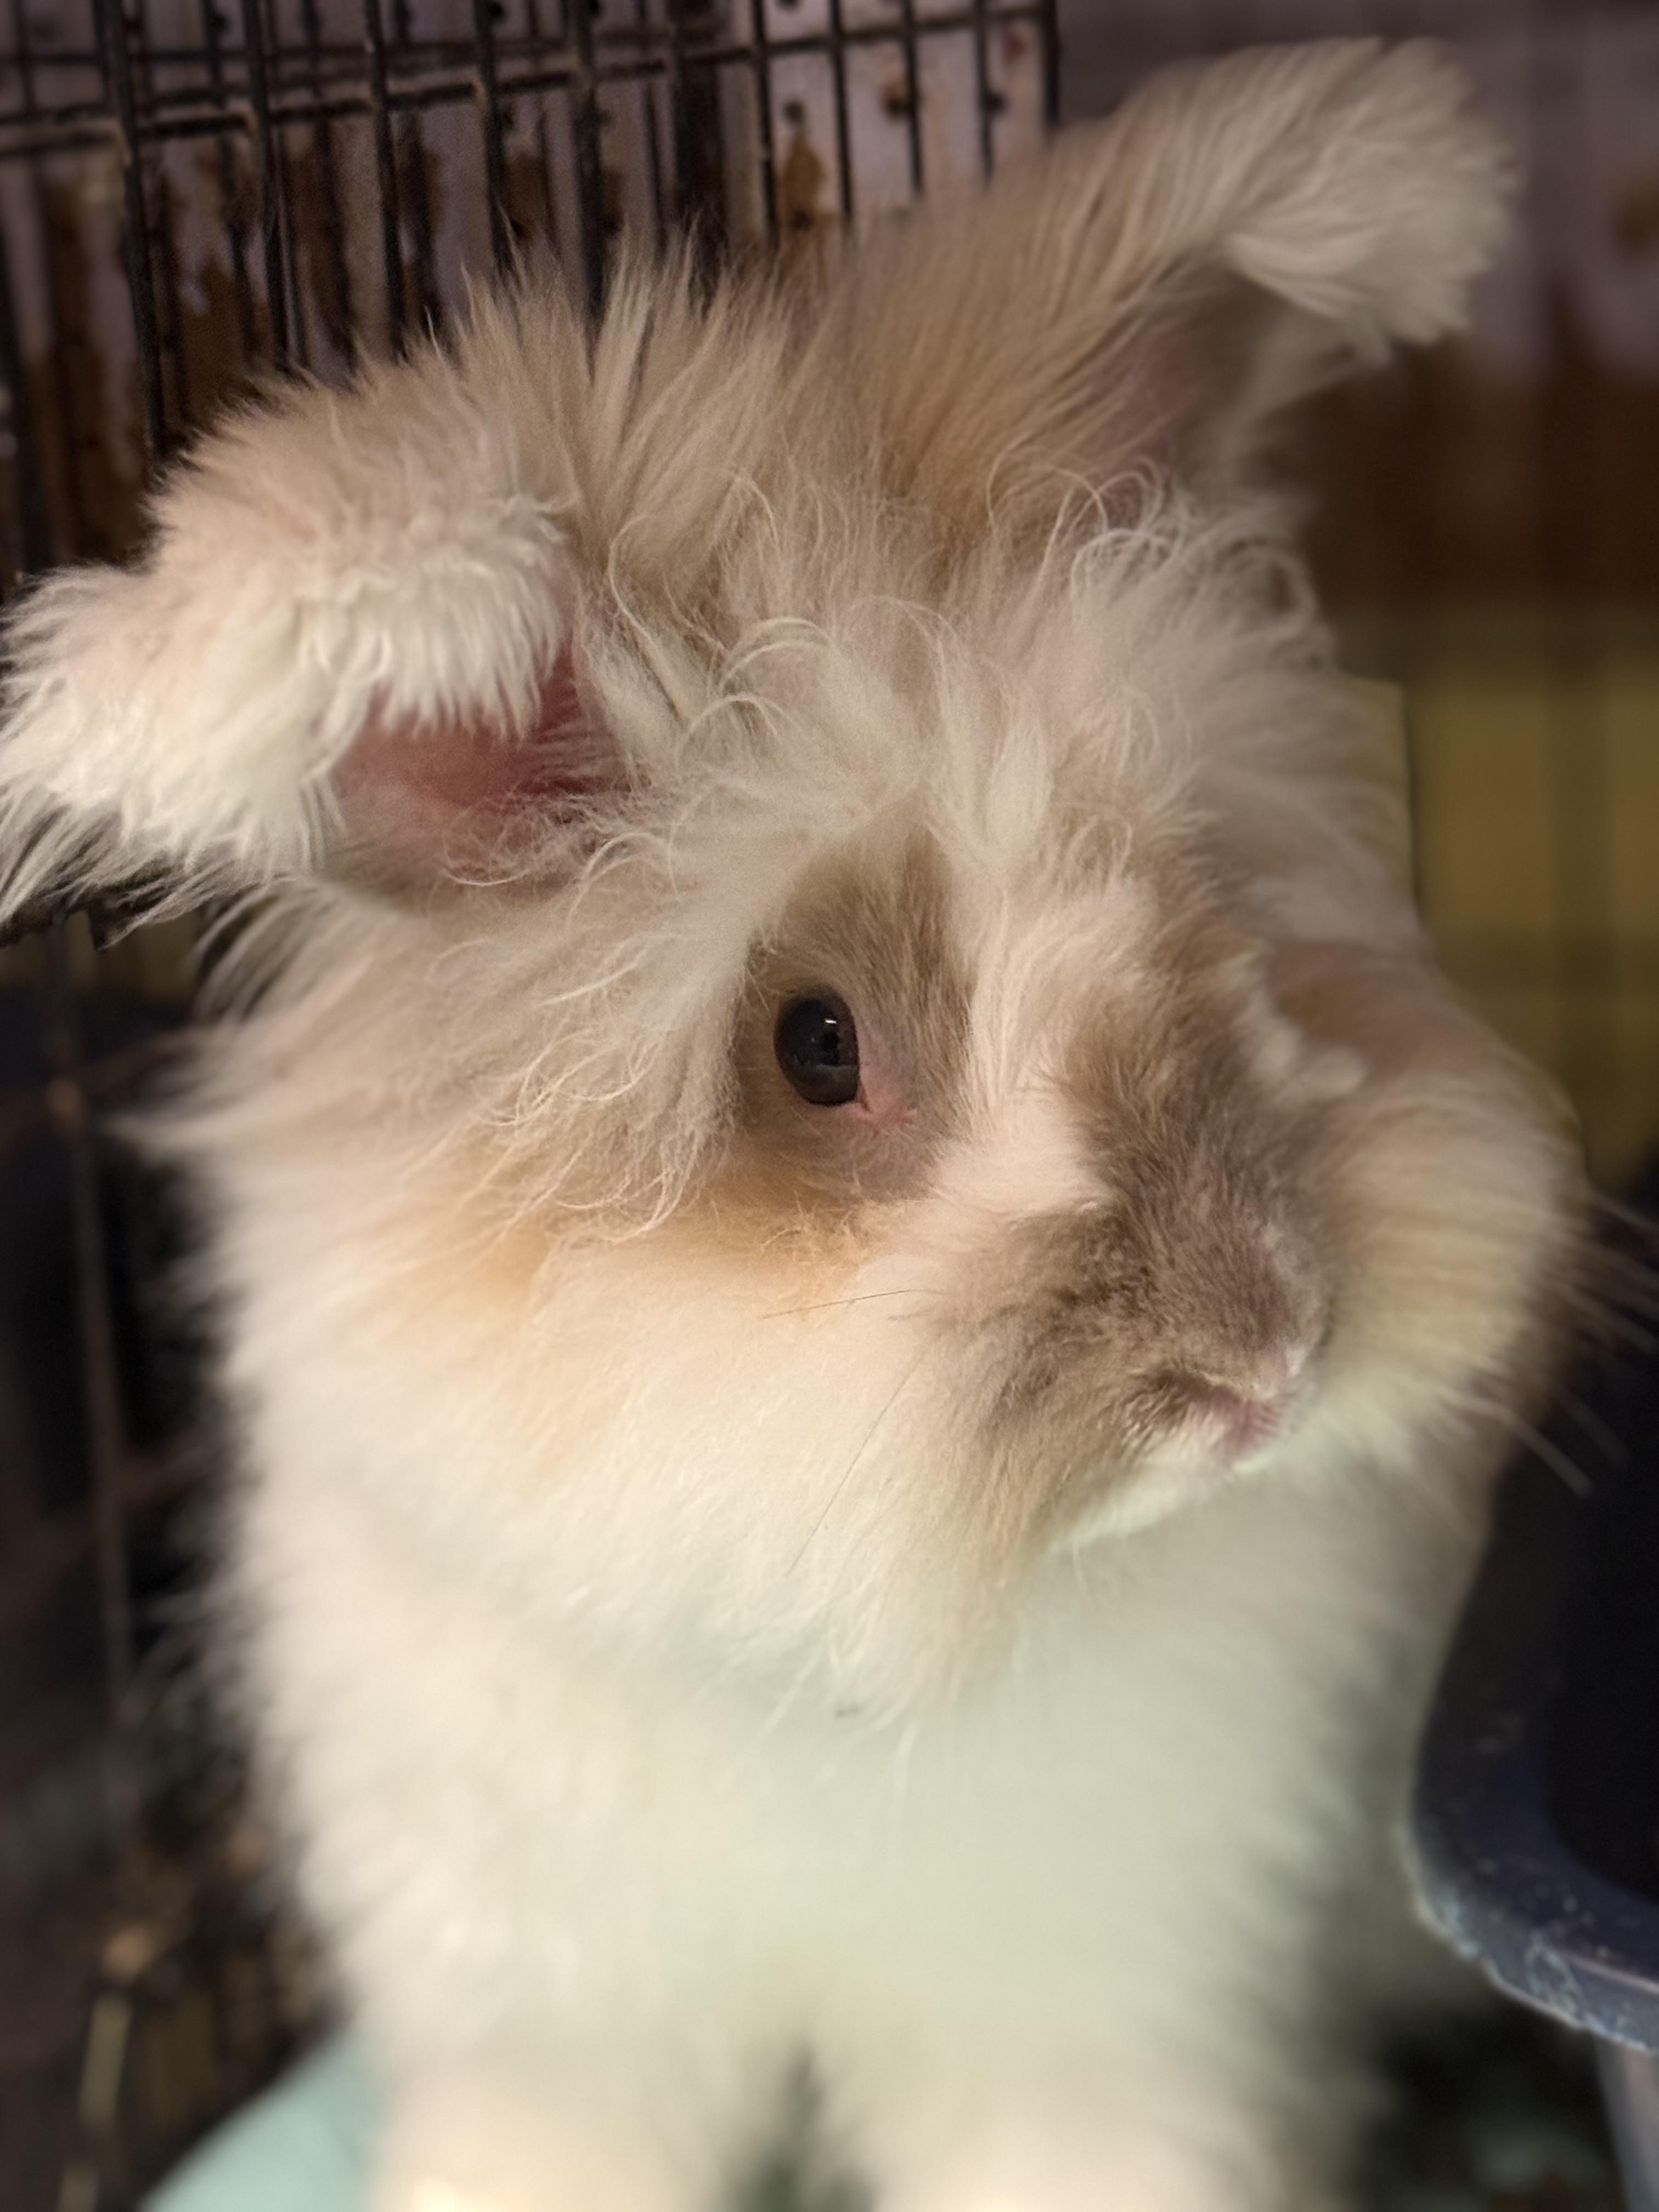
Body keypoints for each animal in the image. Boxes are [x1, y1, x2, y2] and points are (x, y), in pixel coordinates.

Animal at [0, 37, 1585, 2212]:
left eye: (1196, 903)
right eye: (814, 1046)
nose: (1257, 1361)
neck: (822, 1657)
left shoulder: (1085, 2024)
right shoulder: (550, 2018)